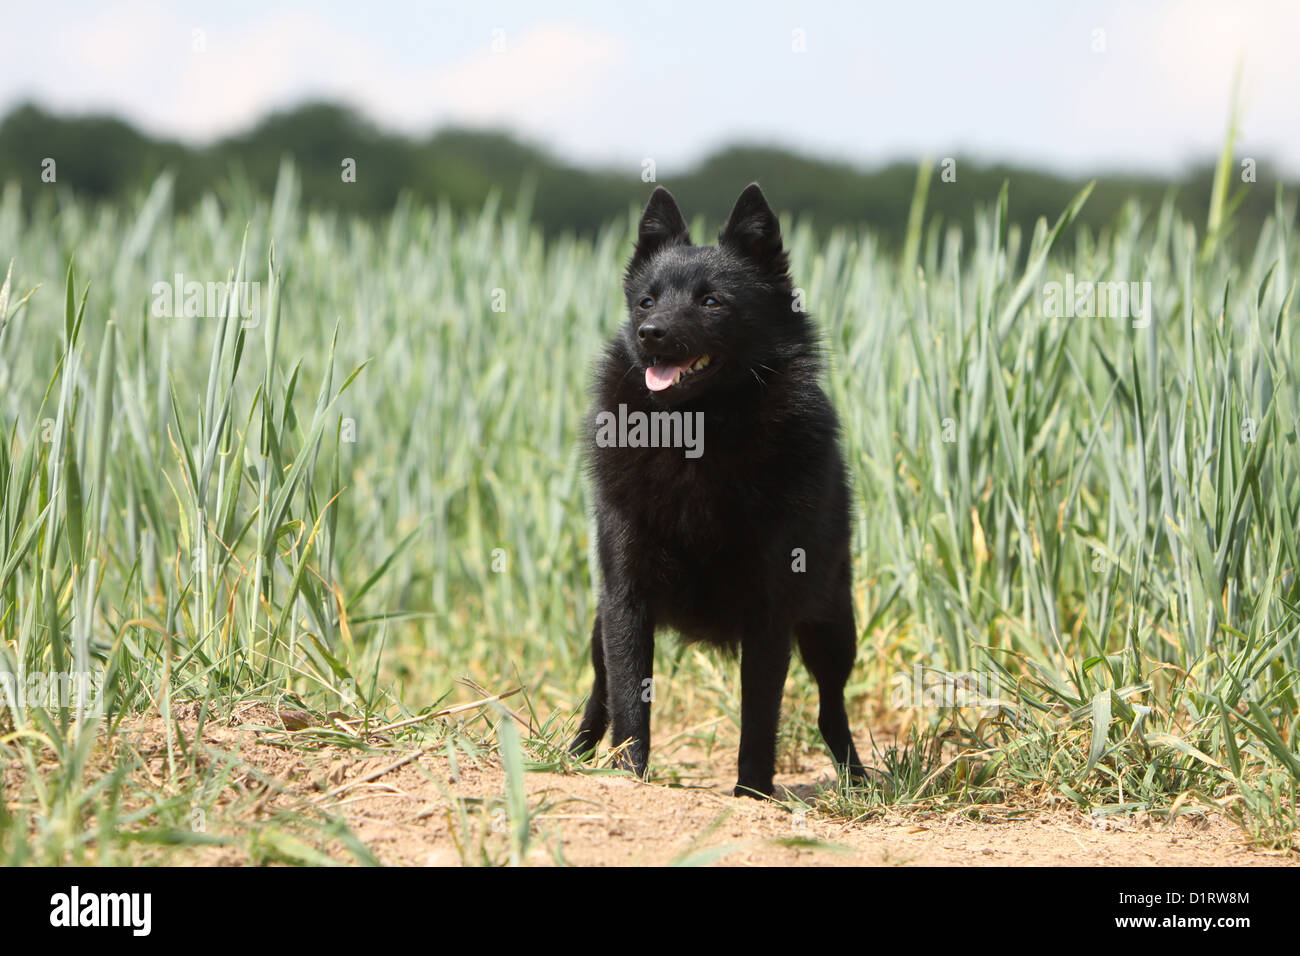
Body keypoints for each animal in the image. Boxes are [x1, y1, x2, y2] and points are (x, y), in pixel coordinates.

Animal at [574, 183, 868, 796]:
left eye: (712, 302)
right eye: (647, 302)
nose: (651, 335)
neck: (698, 435)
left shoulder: (770, 608)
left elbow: (759, 713)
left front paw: (751, 795)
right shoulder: (626, 598)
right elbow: (630, 700)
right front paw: (629, 778)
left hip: (832, 627)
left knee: (832, 707)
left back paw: (858, 780)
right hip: (599, 625)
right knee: (599, 692)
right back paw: (570, 755)